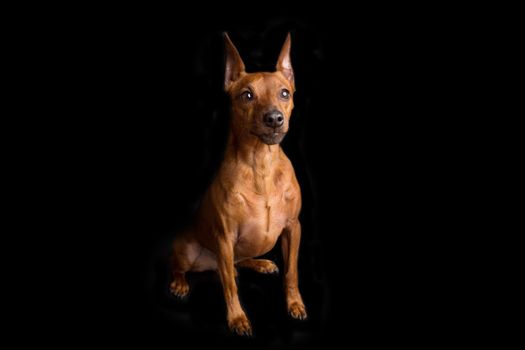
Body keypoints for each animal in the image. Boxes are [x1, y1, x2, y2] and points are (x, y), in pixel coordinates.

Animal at [170, 33, 304, 336]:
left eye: (285, 93)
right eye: (247, 95)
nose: (274, 118)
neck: (261, 166)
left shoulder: (293, 227)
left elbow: (291, 272)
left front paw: (295, 304)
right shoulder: (224, 237)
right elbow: (230, 287)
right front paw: (237, 318)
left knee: (237, 264)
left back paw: (261, 263)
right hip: (188, 249)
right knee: (200, 269)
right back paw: (180, 283)